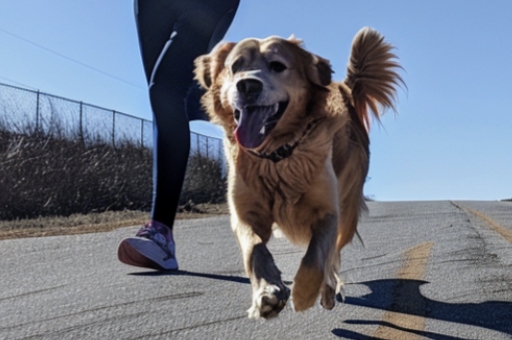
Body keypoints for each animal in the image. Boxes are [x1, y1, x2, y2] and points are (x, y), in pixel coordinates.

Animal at [194, 27, 402, 318]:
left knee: (332, 256)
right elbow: (254, 250)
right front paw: (267, 293)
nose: (247, 86)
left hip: (348, 213)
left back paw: (328, 291)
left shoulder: (328, 212)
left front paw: (303, 294)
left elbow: (316, 258)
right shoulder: (245, 214)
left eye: (278, 66)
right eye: (235, 67)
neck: (276, 156)